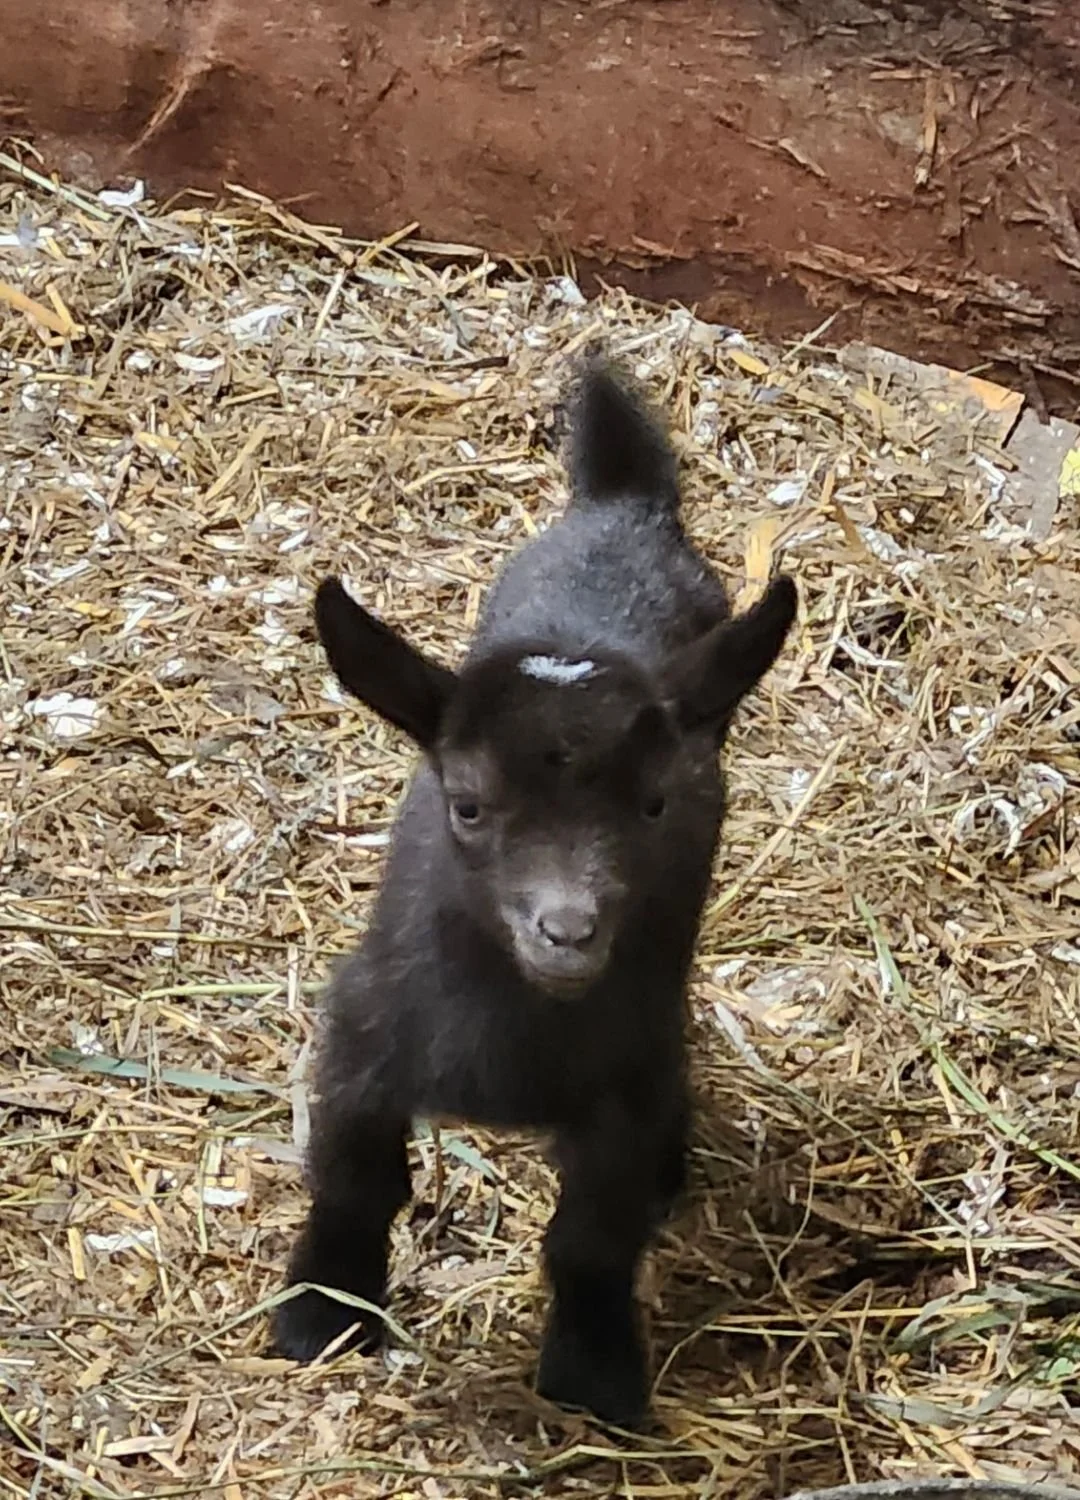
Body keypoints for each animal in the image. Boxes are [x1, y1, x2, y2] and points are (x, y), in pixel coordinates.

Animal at [271, 357, 797, 1428]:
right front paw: (321, 1314)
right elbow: (353, 1182)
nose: (569, 929)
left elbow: (593, 1236)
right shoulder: (362, 1031)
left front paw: (593, 1371)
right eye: (467, 804)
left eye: (654, 803)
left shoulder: (626, 1079)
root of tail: (623, 506)